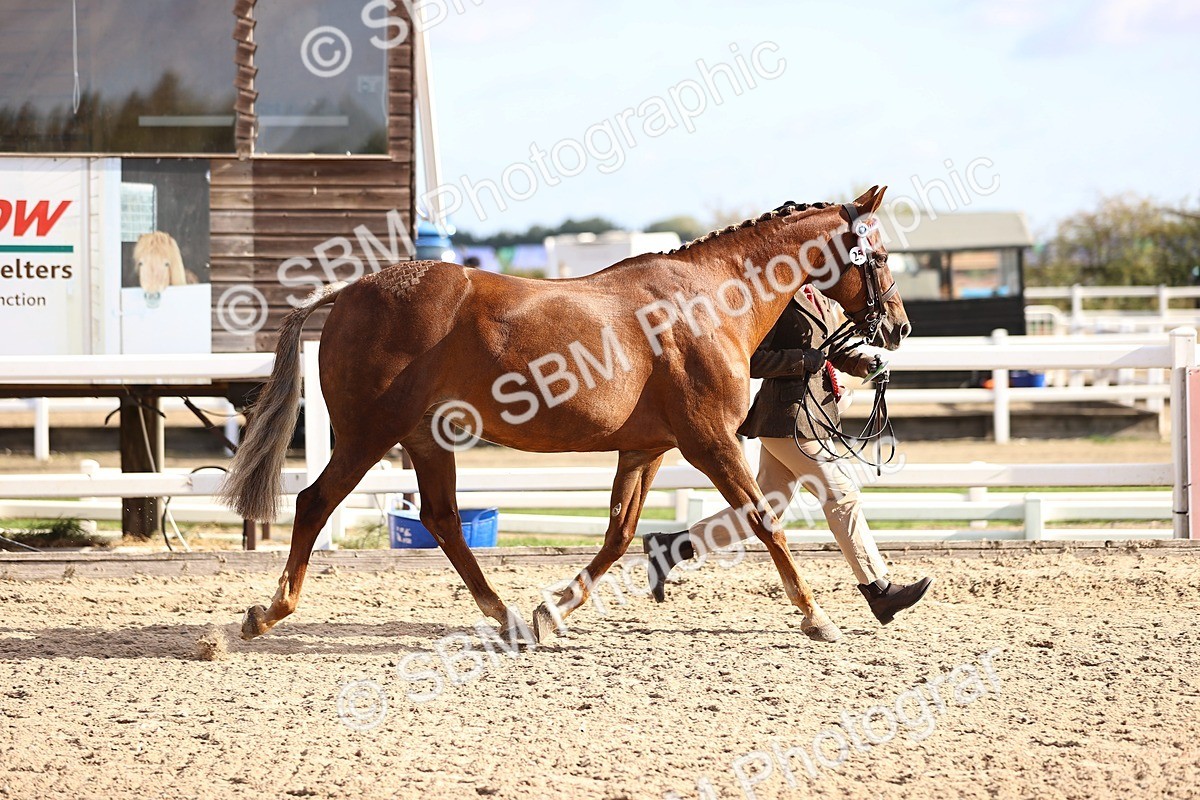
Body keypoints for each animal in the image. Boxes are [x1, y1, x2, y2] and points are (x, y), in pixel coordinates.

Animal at [221, 185, 910, 645]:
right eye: (877, 256)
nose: (898, 329)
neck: (709, 301)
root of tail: (352, 290)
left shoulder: (647, 449)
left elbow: (619, 535)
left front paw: (553, 610)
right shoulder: (709, 443)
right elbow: (765, 521)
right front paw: (816, 615)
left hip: (425, 440)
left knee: (443, 520)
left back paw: (508, 618)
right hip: (368, 436)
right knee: (314, 503)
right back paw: (265, 614)